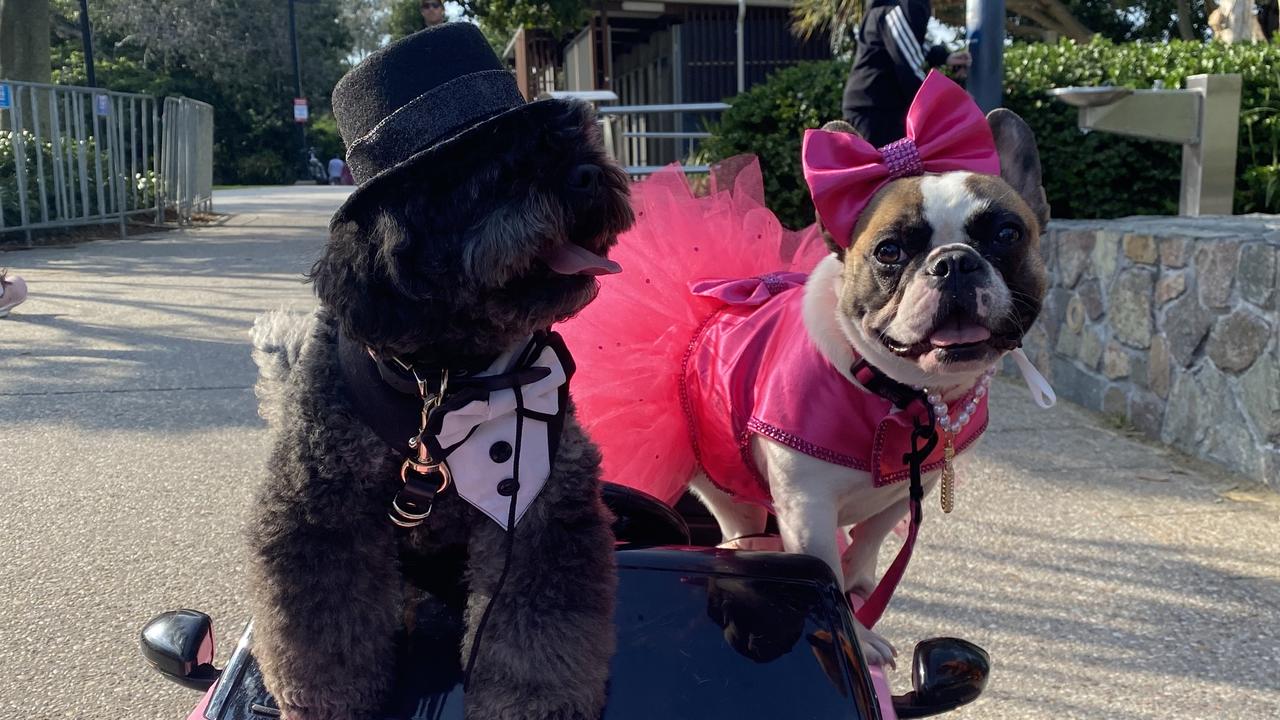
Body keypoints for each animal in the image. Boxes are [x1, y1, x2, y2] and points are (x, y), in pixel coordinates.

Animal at [245, 96, 634, 717]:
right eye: (498, 169)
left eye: (579, 140)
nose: (589, 175)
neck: (444, 380)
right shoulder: (319, 511)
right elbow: (322, 628)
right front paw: (328, 699)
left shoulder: (540, 511)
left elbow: (537, 630)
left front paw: (533, 702)